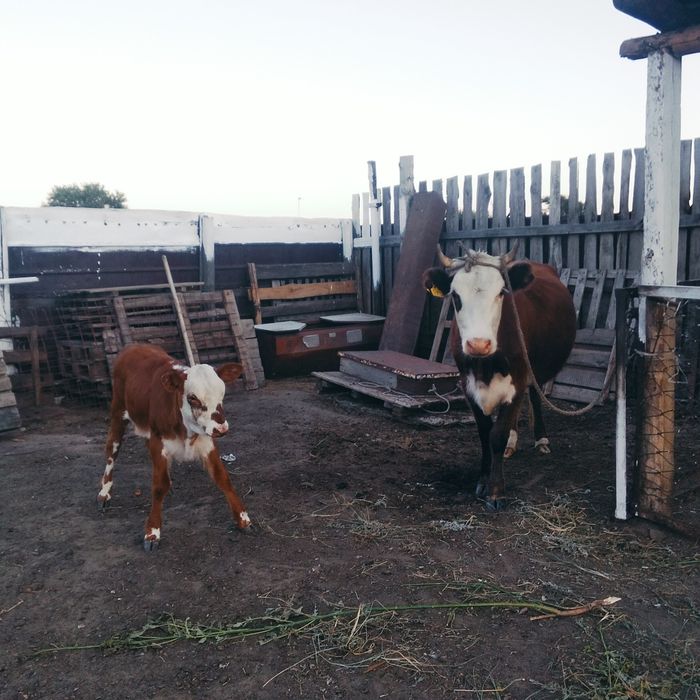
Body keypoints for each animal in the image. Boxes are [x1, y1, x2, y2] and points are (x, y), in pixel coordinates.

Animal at [97, 343, 251, 550]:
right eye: (192, 397)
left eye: (222, 393)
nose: (221, 428)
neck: (185, 429)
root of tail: (135, 346)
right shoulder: (159, 443)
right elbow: (159, 486)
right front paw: (152, 532)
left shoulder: (207, 441)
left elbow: (222, 478)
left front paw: (242, 518)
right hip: (118, 411)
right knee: (111, 451)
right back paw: (104, 493)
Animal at [423, 247, 576, 510]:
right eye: (456, 296)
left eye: (501, 293)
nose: (478, 344)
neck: (486, 364)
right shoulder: (468, 386)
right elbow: (485, 433)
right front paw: (483, 481)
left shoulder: (517, 381)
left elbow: (497, 434)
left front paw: (495, 491)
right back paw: (512, 445)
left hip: (532, 370)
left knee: (534, 395)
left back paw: (541, 439)